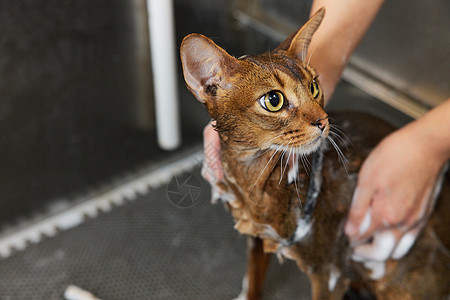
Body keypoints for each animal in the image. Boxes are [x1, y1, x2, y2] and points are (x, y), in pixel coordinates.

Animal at [180, 7, 450, 300]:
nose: (323, 120)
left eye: (313, 87)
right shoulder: (258, 236)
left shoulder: (329, 271)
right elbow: (252, 281)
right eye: (273, 100)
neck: (257, 182)